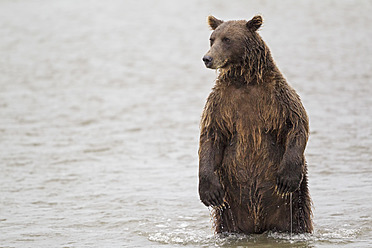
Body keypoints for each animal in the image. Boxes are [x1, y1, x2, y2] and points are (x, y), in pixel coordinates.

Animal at [199, 15, 312, 234]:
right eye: (211, 39)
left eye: (227, 39)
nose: (207, 58)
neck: (245, 80)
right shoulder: (219, 104)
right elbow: (210, 136)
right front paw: (209, 192)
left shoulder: (278, 97)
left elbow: (296, 123)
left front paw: (286, 178)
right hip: (231, 211)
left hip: (293, 206)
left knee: (298, 219)